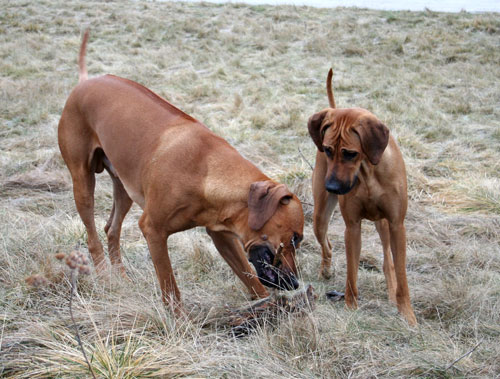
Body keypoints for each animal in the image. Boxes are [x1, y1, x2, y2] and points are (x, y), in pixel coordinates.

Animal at [56, 31, 302, 312]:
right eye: (296, 238)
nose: (296, 283)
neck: (206, 173)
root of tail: (86, 81)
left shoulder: (222, 234)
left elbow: (249, 277)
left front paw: (267, 308)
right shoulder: (153, 230)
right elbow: (171, 289)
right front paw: (178, 318)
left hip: (124, 185)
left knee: (111, 229)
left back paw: (121, 278)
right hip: (82, 179)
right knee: (92, 232)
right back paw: (105, 276)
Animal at [306, 70, 416, 326]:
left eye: (350, 153)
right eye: (328, 150)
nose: (331, 186)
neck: (367, 173)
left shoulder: (396, 224)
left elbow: (401, 274)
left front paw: (407, 315)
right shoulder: (352, 226)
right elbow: (352, 274)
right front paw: (350, 308)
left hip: (383, 224)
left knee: (387, 261)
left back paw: (390, 290)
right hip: (319, 217)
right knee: (326, 244)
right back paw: (326, 270)